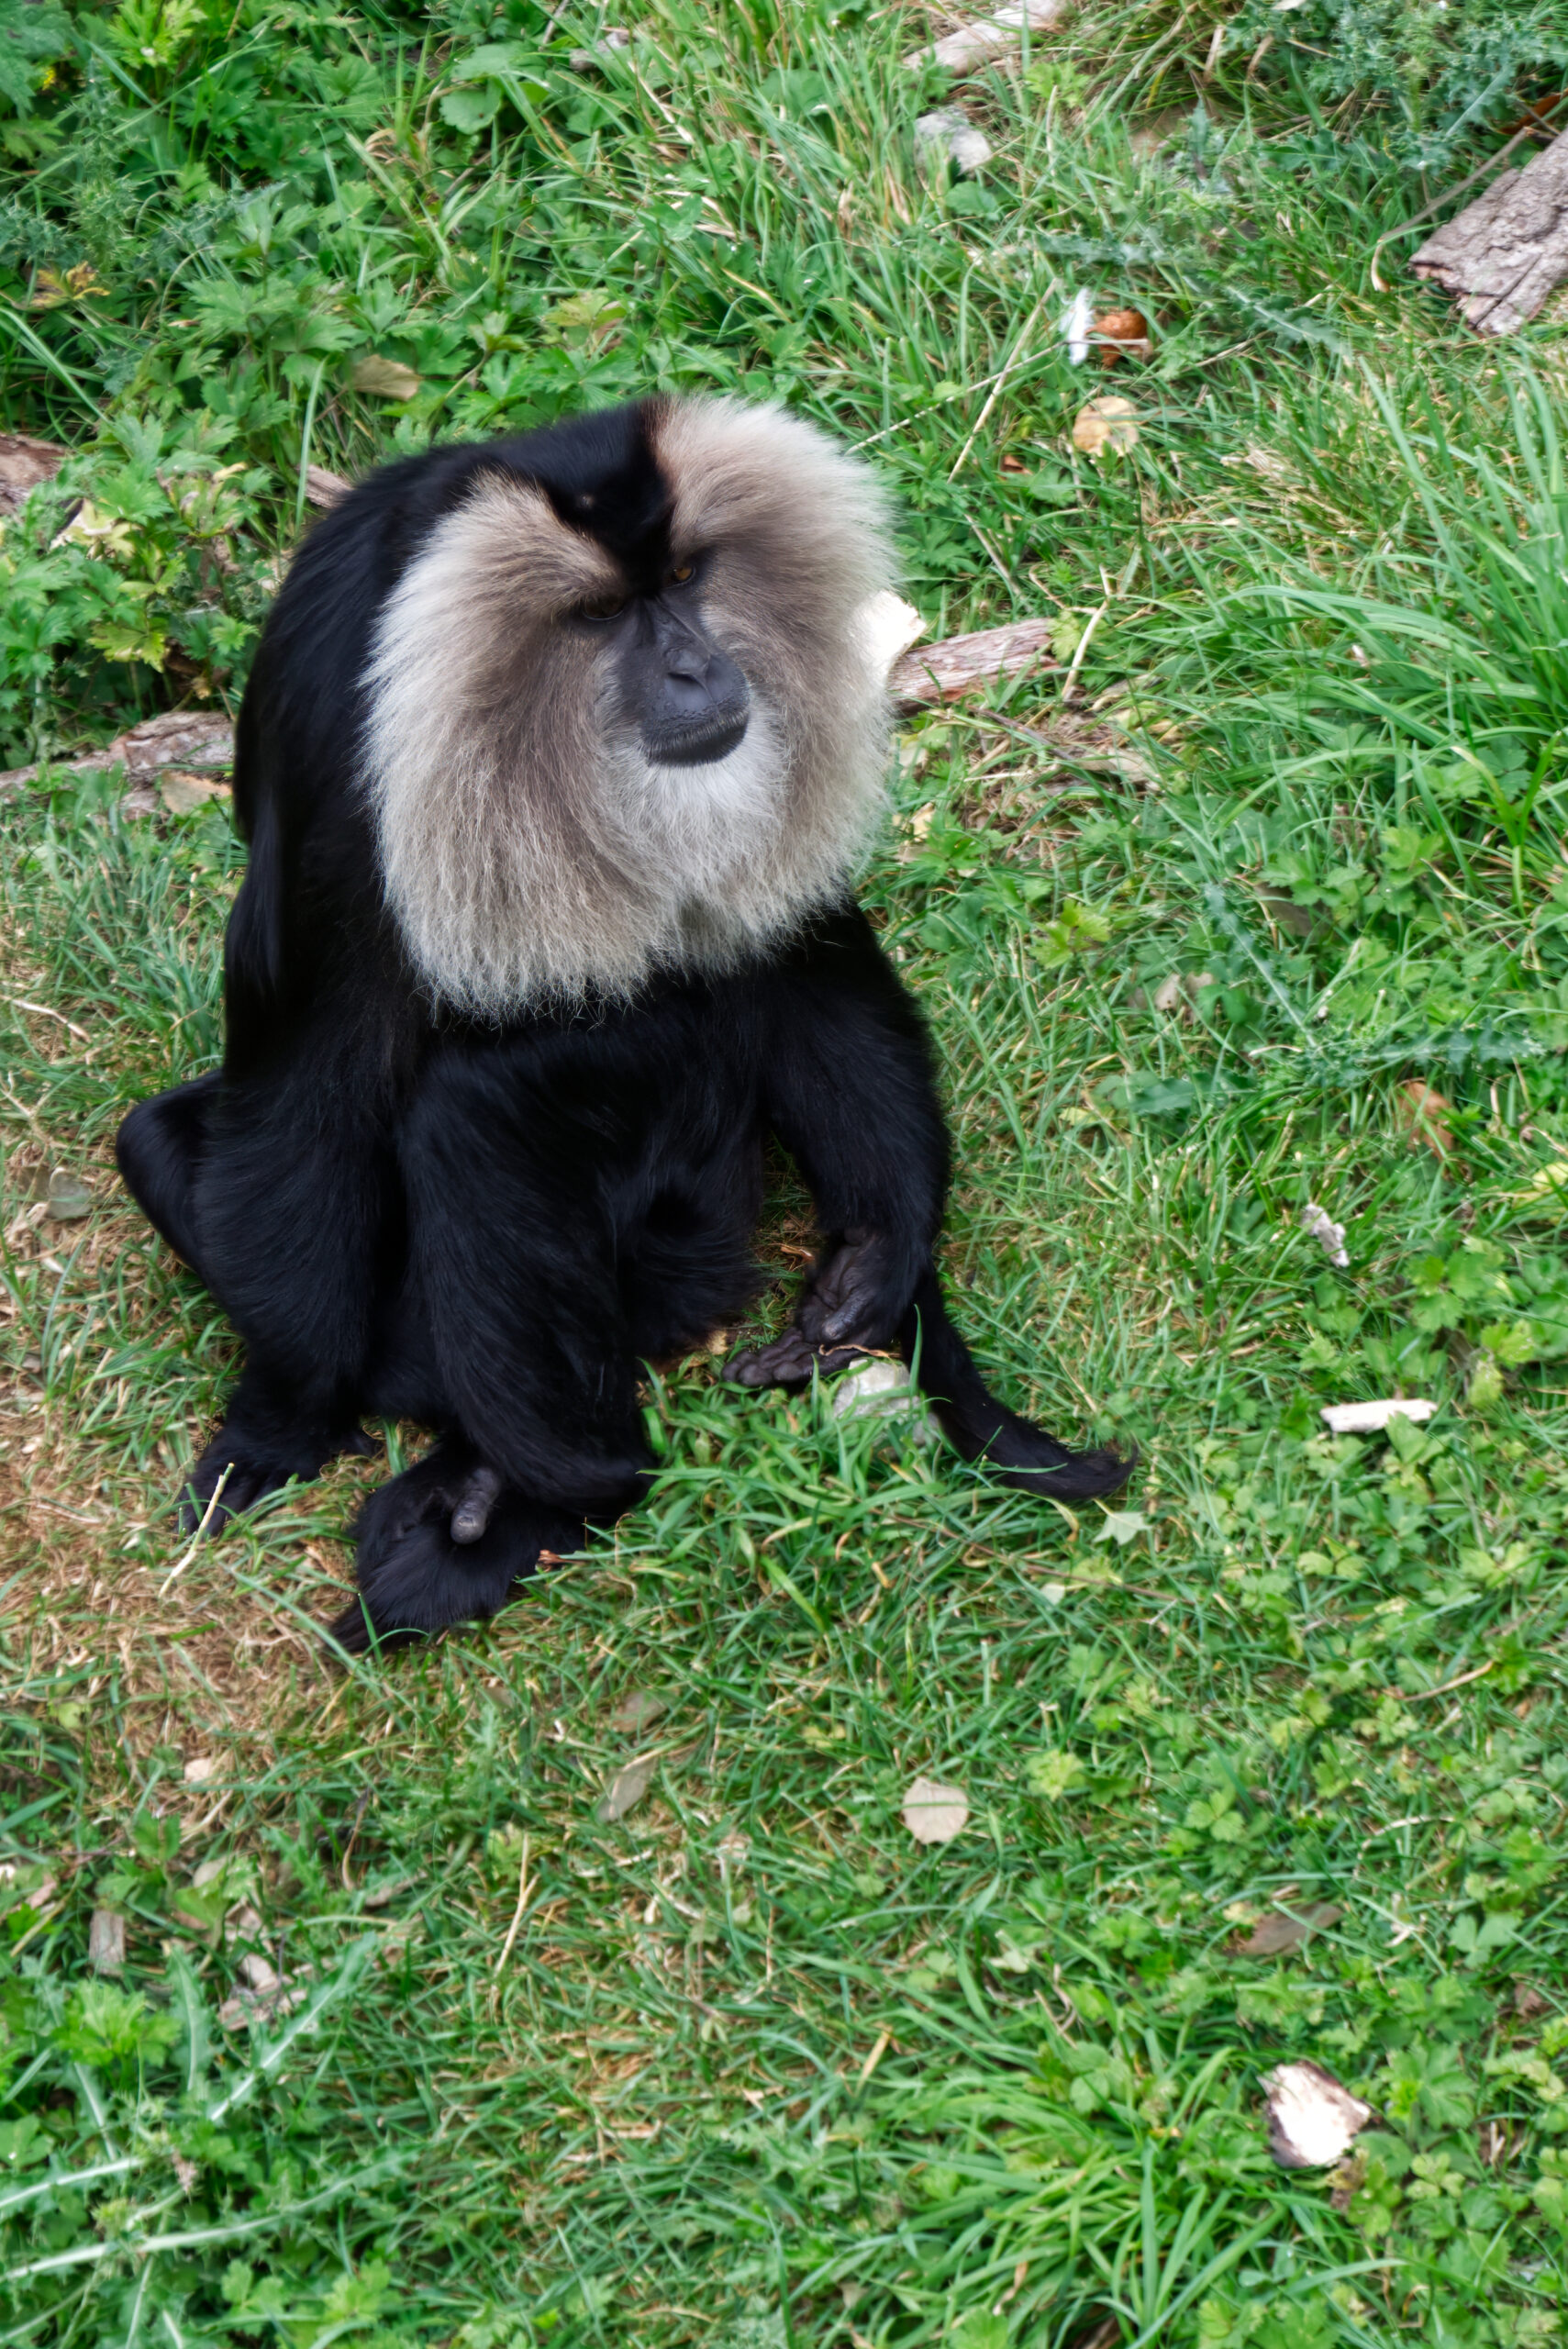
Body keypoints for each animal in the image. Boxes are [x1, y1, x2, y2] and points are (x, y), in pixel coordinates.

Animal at [115, 396, 1132, 1651]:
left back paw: (521, 1493)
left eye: (686, 580)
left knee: (483, 1108)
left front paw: (875, 1250)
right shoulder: (340, 734)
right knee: (183, 1137)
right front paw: (277, 1422)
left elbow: (792, 953)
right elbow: (307, 1081)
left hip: (685, 1239)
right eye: (599, 614)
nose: (696, 665)